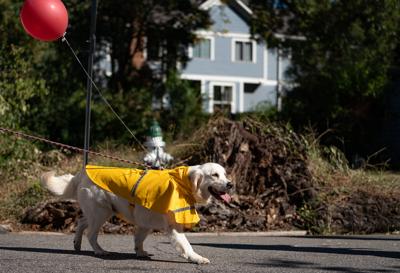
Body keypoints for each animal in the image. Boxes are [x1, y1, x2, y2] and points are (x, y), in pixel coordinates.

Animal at [40, 163, 231, 262]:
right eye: (214, 175)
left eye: (224, 174)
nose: (230, 184)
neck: (183, 182)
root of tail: (81, 173)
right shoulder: (173, 226)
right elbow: (186, 245)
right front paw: (197, 258)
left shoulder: (145, 221)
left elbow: (139, 239)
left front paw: (140, 253)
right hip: (100, 213)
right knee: (91, 234)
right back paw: (99, 251)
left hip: (101, 212)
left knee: (81, 222)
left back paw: (77, 244)